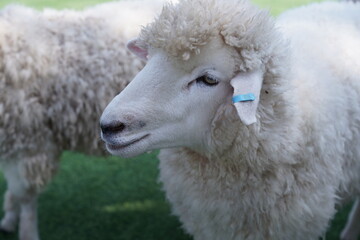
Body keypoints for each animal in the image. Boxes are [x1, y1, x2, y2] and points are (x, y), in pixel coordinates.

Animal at [0, 0, 166, 239]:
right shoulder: (14, 142)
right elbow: (16, 190)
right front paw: (9, 219)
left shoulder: (32, 141)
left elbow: (26, 195)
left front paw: (27, 231)